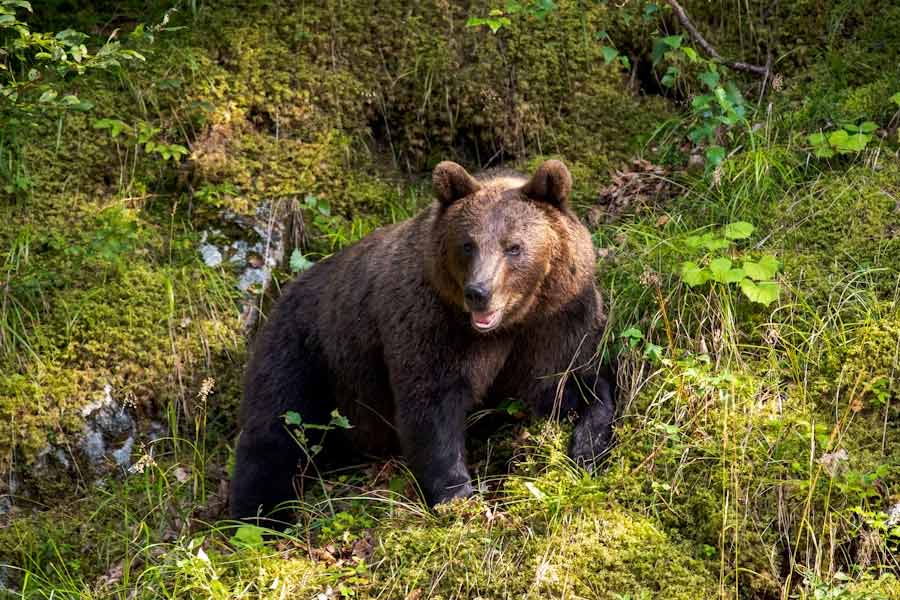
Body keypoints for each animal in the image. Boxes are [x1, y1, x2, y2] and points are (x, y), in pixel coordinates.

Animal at [230, 159, 615, 521]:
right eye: (468, 244)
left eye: (514, 247)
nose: (478, 292)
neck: (508, 325)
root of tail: (285, 291)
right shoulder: (432, 324)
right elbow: (431, 407)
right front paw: (458, 496)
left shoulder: (554, 324)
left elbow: (565, 386)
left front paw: (587, 448)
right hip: (305, 352)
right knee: (275, 431)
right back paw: (261, 516)